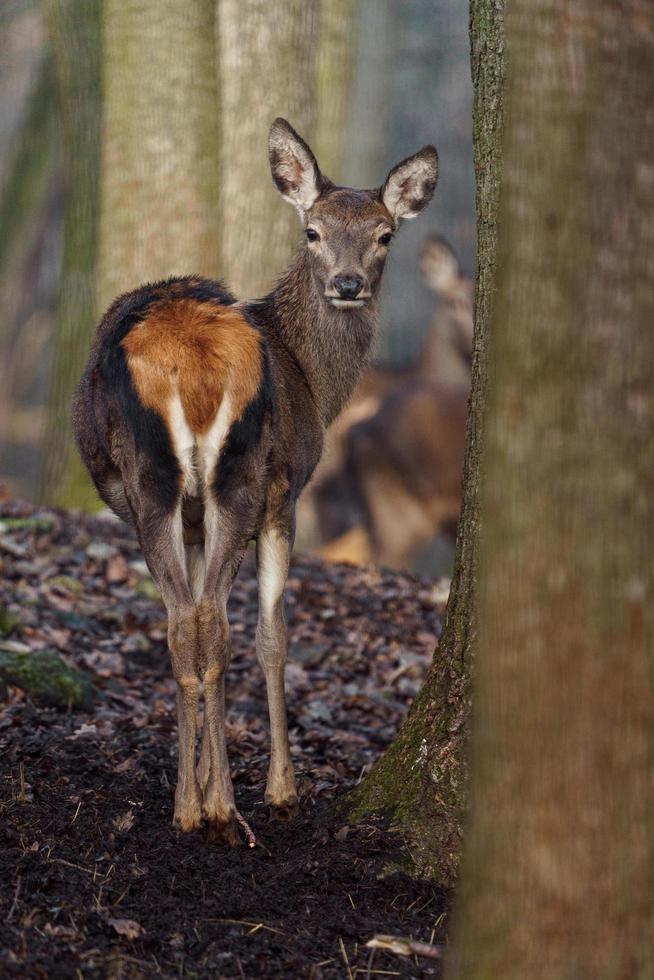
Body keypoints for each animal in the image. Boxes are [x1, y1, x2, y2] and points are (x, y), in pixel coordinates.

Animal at [74, 120, 438, 844]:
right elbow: (272, 637)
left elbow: (208, 630)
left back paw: (190, 805)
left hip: (158, 488)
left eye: (385, 233)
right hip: (236, 479)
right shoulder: (285, 493)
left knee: (183, 621)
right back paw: (218, 807)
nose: (349, 283)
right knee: (212, 618)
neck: (314, 384)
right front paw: (279, 791)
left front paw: (210, 778)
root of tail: (189, 361)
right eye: (313, 230)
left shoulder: (195, 520)